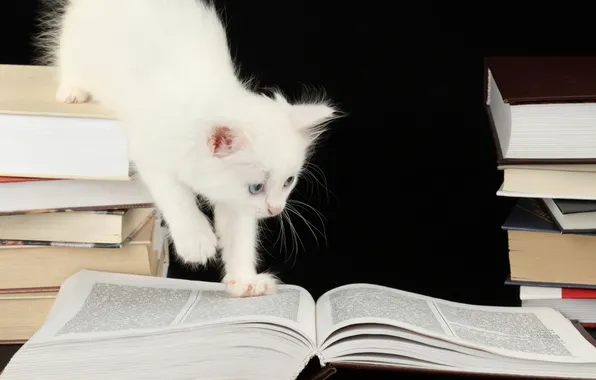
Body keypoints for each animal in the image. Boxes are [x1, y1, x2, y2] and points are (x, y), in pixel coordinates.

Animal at [38, 0, 340, 296]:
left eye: (288, 182)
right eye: (257, 187)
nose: (276, 209)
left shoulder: (234, 199)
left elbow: (239, 234)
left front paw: (244, 281)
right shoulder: (149, 149)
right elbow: (176, 194)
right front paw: (196, 241)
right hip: (80, 41)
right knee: (69, 60)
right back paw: (73, 91)